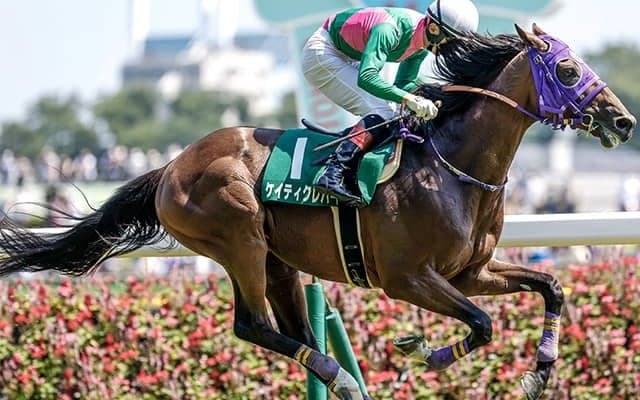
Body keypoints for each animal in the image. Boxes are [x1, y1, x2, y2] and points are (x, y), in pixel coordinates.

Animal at [0, 24, 635, 400]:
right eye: (569, 70)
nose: (624, 120)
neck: (454, 167)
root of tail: (171, 166)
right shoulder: (406, 278)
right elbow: (480, 324)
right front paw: (423, 351)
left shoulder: (470, 271)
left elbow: (551, 286)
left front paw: (539, 370)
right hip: (240, 239)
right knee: (251, 325)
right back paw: (339, 375)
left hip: (278, 259)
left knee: (291, 327)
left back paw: (337, 376)